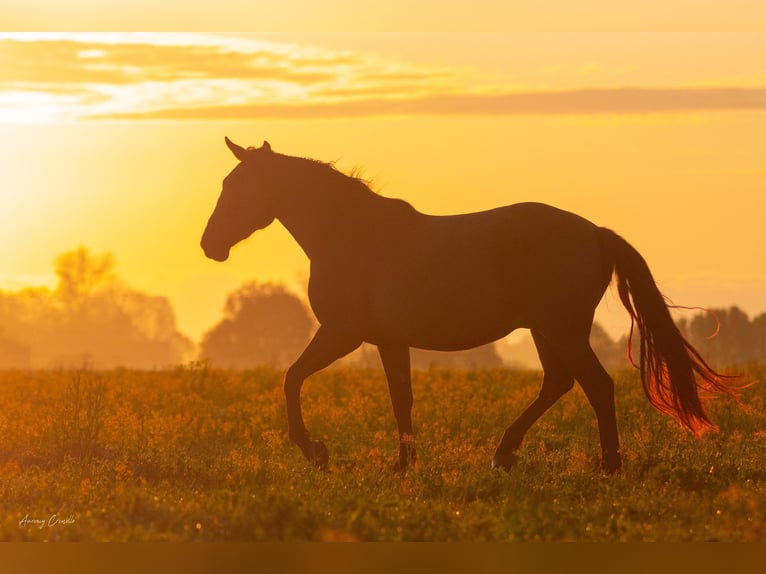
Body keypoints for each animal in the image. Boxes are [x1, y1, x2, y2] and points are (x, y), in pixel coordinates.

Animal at [201, 137, 736, 474]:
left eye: (238, 188)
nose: (209, 245)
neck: (350, 234)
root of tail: (595, 234)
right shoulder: (389, 340)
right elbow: (401, 398)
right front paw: (403, 464)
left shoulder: (341, 332)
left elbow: (291, 378)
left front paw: (314, 450)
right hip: (546, 331)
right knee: (560, 383)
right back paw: (506, 454)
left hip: (561, 329)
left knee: (596, 387)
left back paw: (607, 466)